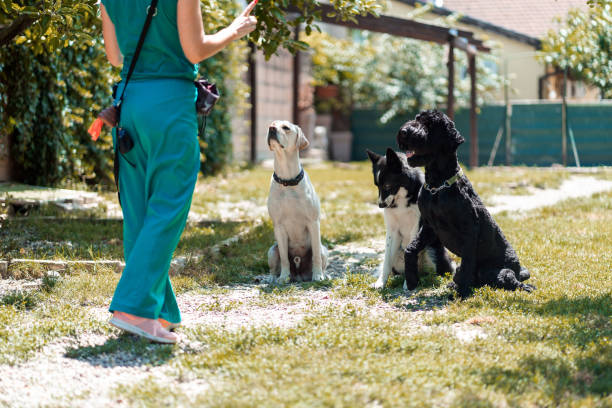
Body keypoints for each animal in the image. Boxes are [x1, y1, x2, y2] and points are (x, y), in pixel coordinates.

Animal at [366, 148, 456, 288]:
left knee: (436, 271)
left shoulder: (416, 228)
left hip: (431, 251)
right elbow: (386, 261)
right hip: (398, 253)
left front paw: (408, 284)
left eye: (387, 185)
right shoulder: (392, 231)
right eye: (377, 185)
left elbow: (412, 253)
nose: (380, 205)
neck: (402, 200)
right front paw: (380, 282)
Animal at [396, 110, 536, 298]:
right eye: (417, 119)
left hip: (501, 272)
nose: (404, 132)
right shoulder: (429, 228)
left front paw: (462, 293)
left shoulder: (469, 230)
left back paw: (526, 287)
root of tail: (519, 270)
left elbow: (468, 262)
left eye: (429, 124)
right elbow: (411, 249)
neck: (437, 187)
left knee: (512, 282)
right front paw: (411, 280)